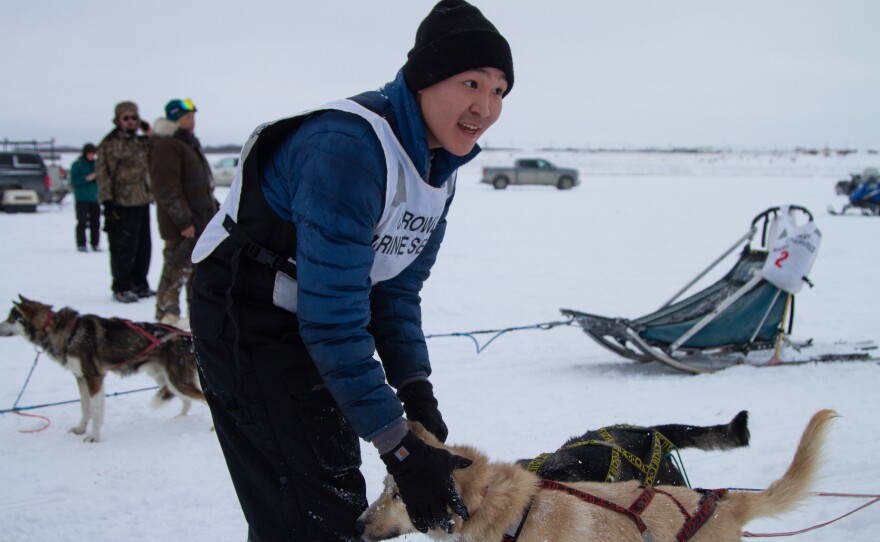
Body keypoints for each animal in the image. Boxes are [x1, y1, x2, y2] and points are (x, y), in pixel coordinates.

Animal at [0, 298, 203, 442]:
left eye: (11, 319)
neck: (64, 332)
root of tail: (187, 338)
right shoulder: (81, 378)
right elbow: (85, 408)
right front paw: (81, 429)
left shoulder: (94, 378)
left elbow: (95, 411)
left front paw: (93, 437)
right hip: (166, 380)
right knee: (186, 400)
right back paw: (180, 419)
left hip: (176, 381)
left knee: (202, 398)